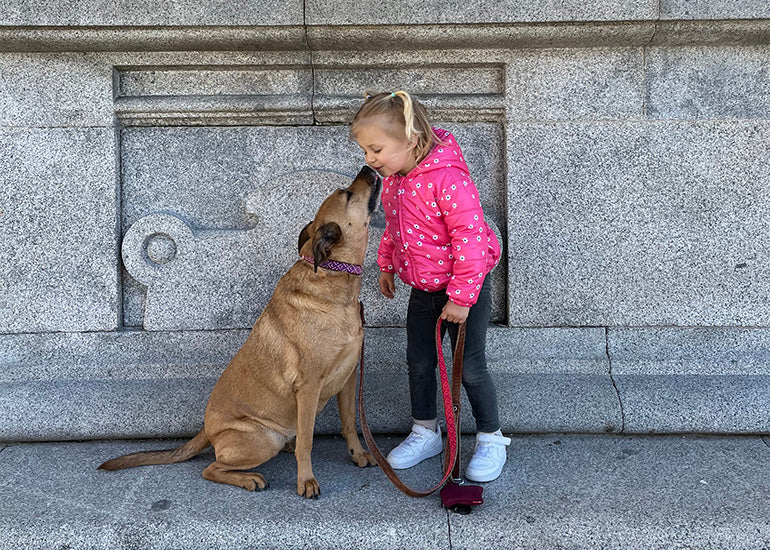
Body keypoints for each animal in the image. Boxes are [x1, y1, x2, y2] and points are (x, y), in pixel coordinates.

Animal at [97, 167, 380, 500]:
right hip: (262, 439)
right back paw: (250, 478)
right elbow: (308, 443)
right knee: (211, 468)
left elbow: (350, 423)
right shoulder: (309, 386)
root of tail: (207, 430)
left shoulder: (348, 378)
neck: (335, 281)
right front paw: (306, 480)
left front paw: (358, 454)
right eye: (347, 194)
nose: (368, 168)